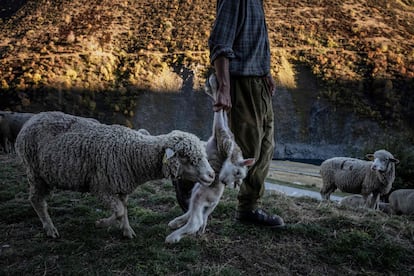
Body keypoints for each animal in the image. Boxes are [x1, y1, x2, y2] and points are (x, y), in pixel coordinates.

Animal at [14, 111, 215, 238]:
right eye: (187, 158)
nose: (212, 175)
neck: (132, 153)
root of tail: (32, 119)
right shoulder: (101, 187)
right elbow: (118, 211)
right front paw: (102, 223)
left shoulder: (122, 187)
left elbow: (123, 209)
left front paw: (127, 231)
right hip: (35, 173)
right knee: (36, 200)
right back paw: (50, 228)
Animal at [165, 74, 256, 244]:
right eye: (238, 174)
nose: (224, 182)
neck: (232, 152)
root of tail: (214, 201)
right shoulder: (223, 134)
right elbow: (223, 114)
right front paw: (213, 87)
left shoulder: (221, 134)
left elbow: (219, 115)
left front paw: (214, 85)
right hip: (198, 191)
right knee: (196, 215)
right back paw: (176, 223)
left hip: (200, 195)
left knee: (196, 221)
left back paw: (173, 237)